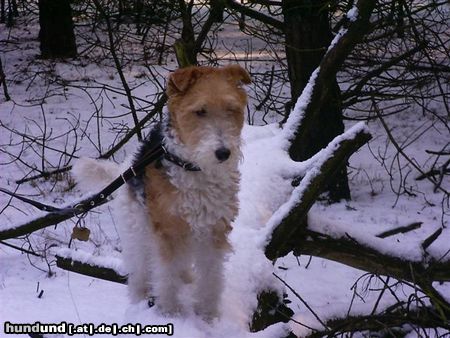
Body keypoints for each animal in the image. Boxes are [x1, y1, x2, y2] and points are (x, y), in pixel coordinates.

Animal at [73, 65, 250, 320]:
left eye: (231, 109)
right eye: (200, 111)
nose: (223, 153)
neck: (192, 167)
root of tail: (124, 169)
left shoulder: (214, 231)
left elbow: (211, 277)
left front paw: (207, 314)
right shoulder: (168, 230)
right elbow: (166, 276)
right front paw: (170, 312)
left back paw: (186, 279)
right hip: (138, 231)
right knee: (139, 272)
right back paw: (141, 296)